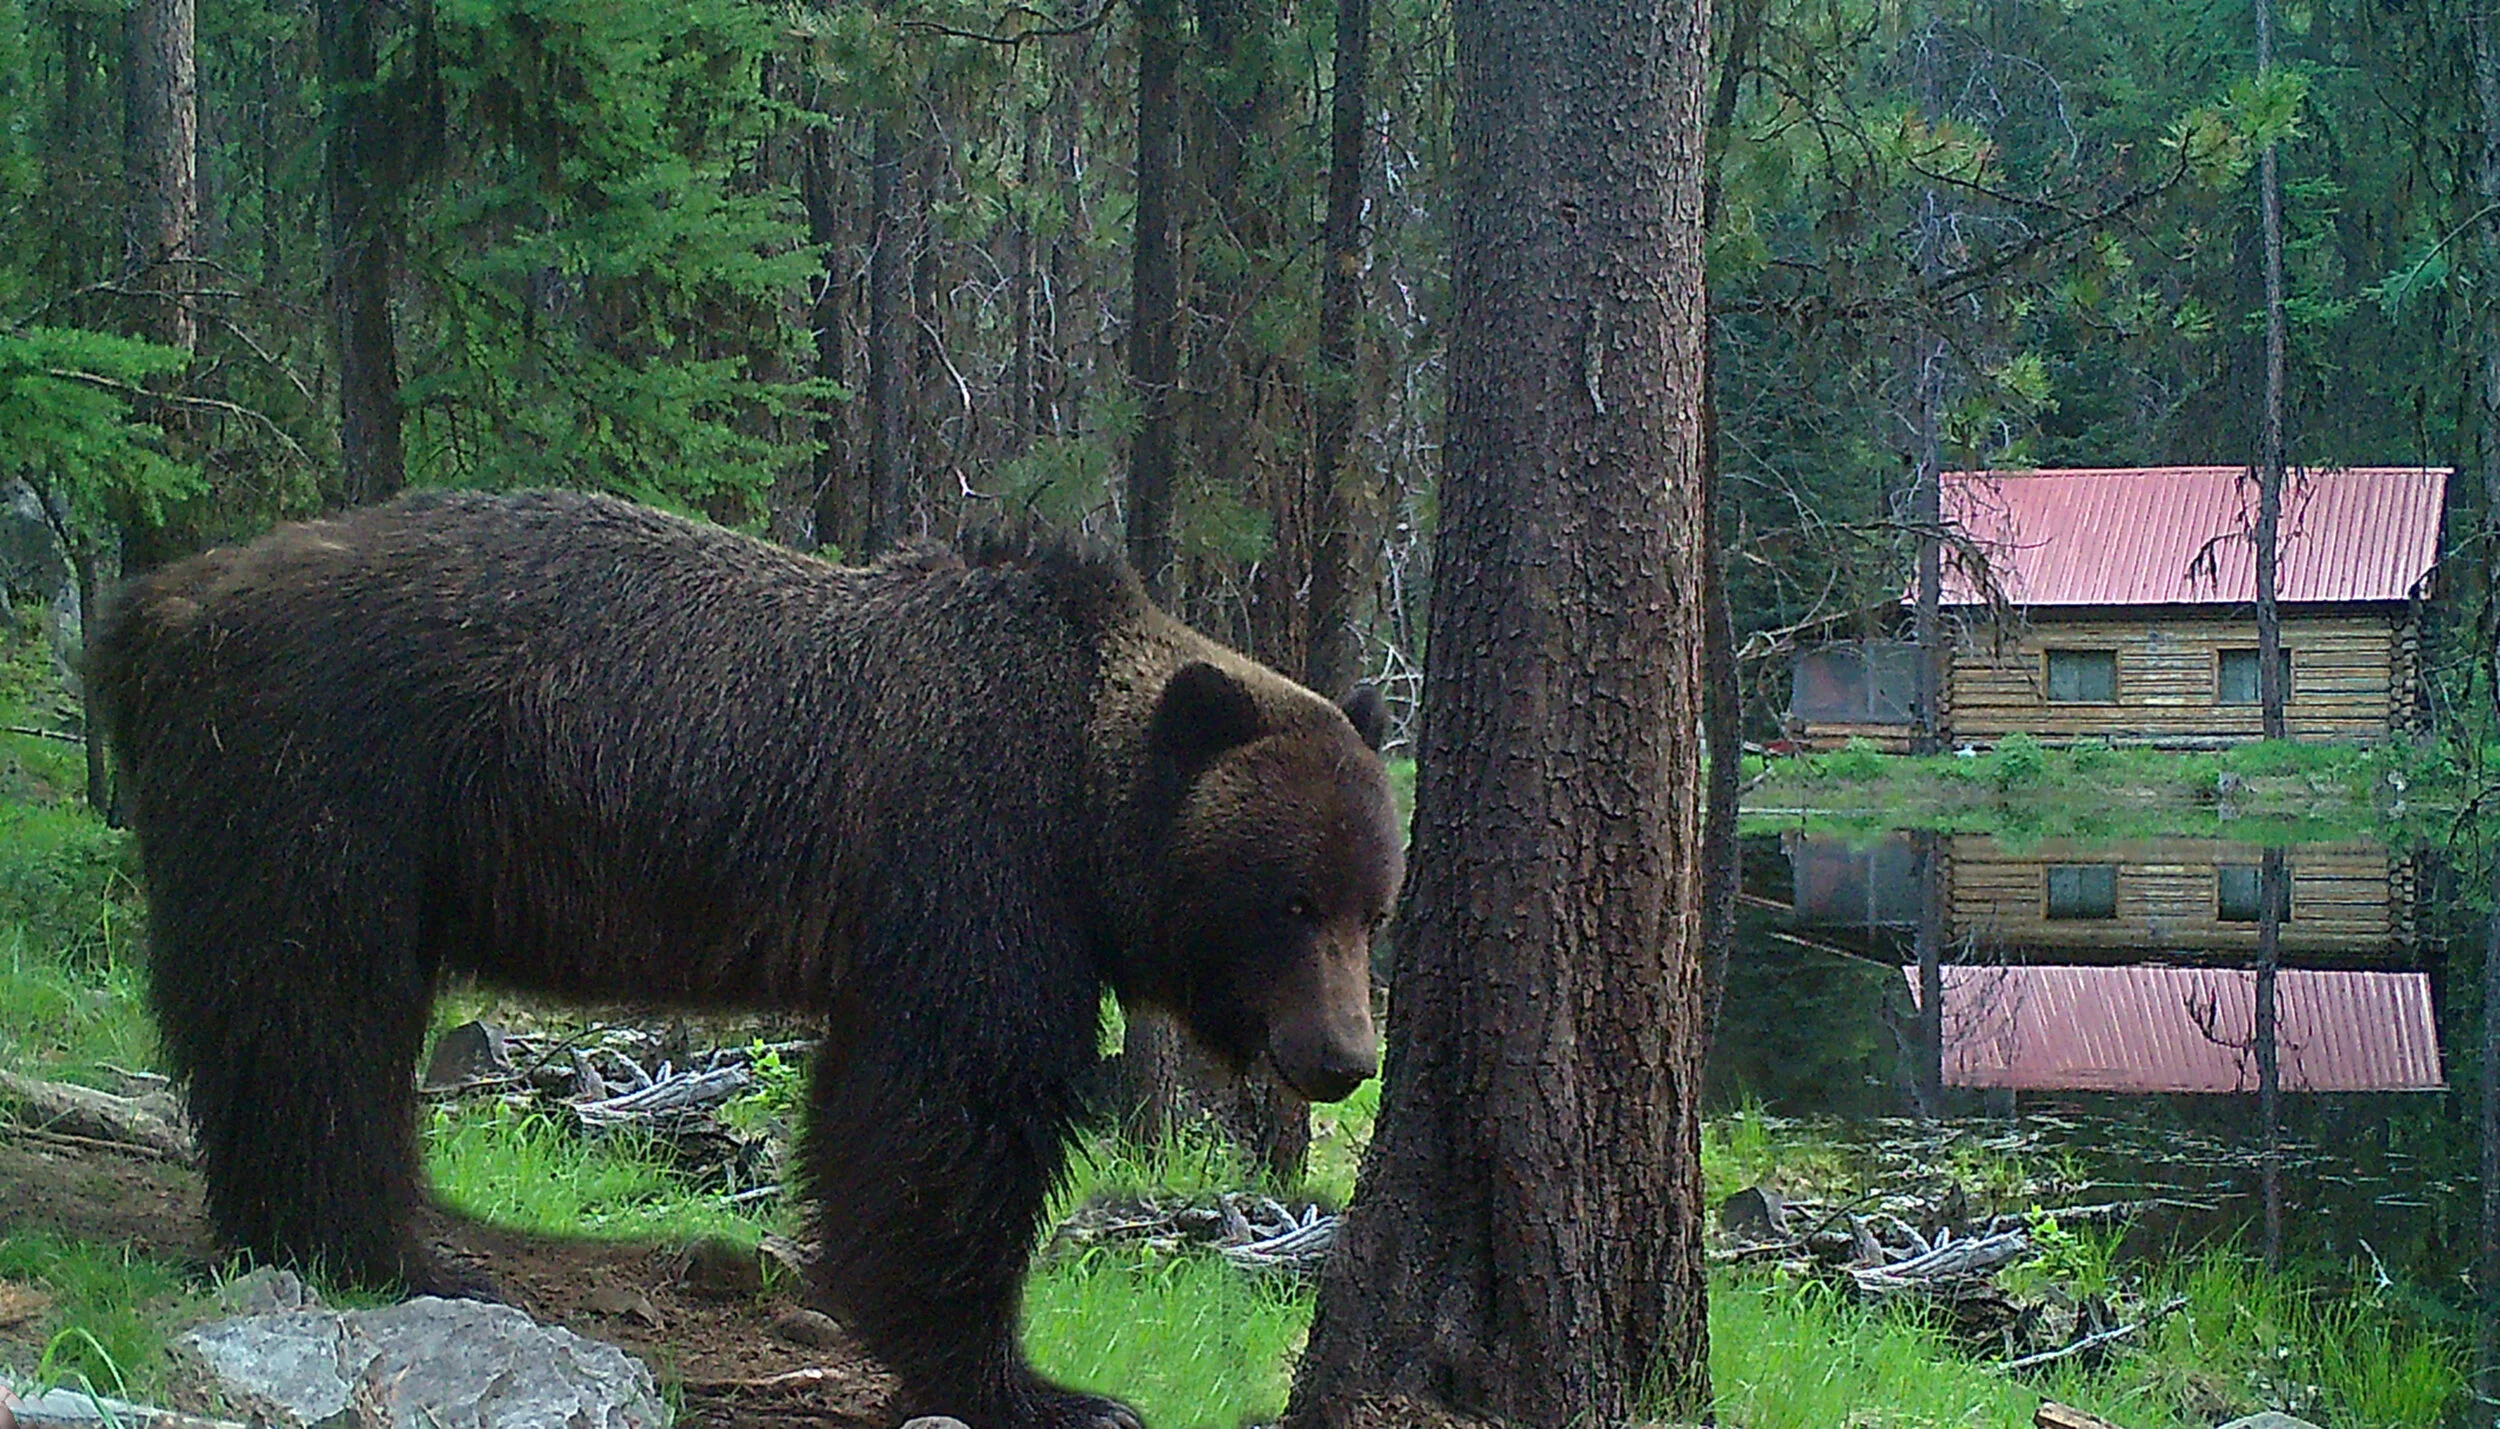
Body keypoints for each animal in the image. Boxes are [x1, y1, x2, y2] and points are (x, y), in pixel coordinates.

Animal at [87, 489, 1402, 1429]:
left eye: (1371, 907)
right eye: (1291, 900)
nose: (1343, 1055)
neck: (1086, 807)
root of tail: (153, 607)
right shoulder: (970, 859)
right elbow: (952, 1114)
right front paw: (1043, 1386)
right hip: (329, 778)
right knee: (311, 1014)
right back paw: (391, 1249)